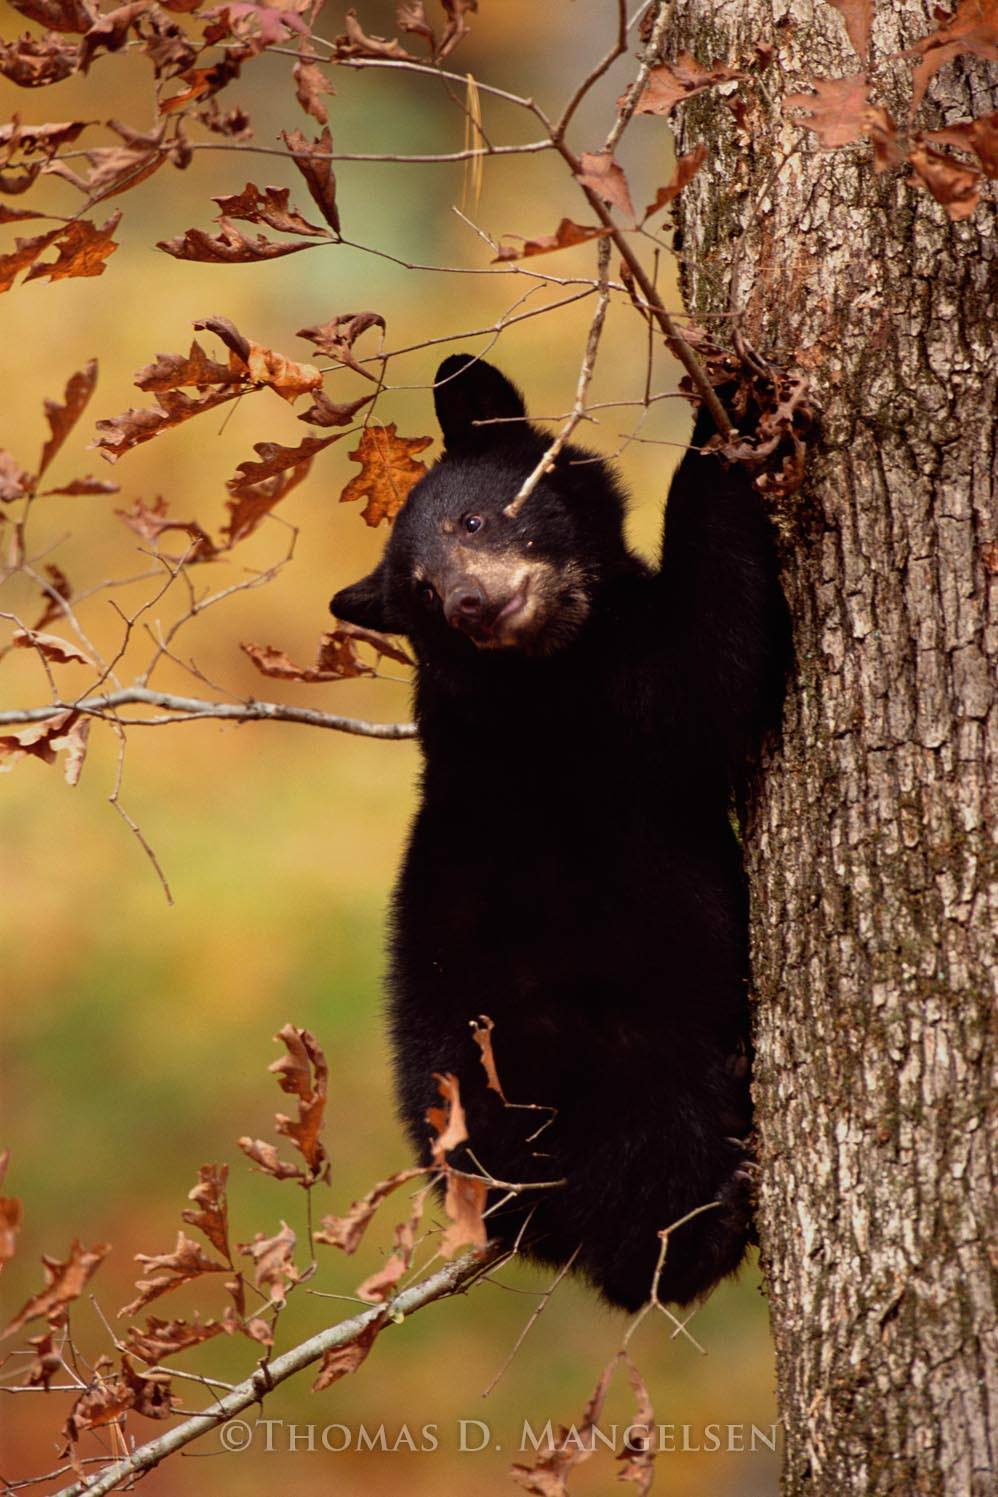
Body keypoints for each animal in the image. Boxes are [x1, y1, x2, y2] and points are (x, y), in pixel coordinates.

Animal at [330, 353, 789, 1311]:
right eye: (421, 590)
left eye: (472, 518)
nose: (469, 601)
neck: (562, 647)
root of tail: (505, 1214)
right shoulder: (596, 714)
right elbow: (711, 669)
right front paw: (723, 414)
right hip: (589, 1068)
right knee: (646, 1211)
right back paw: (715, 1214)